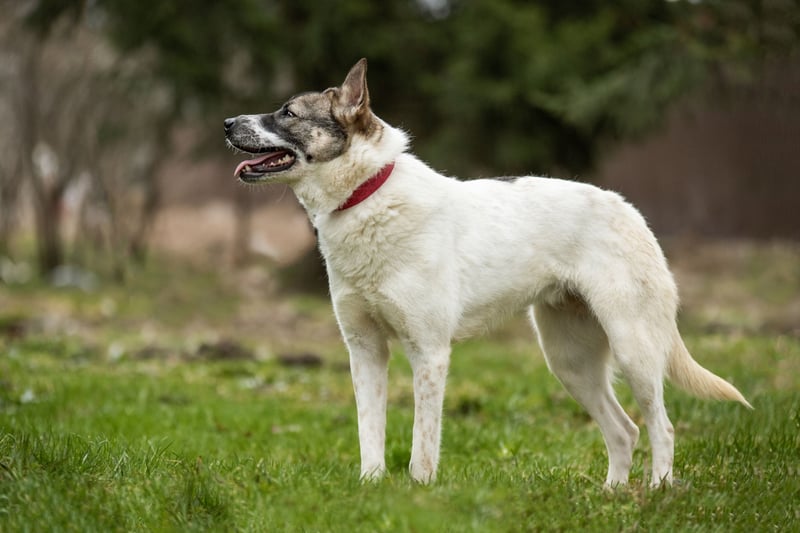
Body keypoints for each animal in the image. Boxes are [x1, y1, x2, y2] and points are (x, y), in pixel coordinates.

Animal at [224, 58, 751, 487]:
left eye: (288, 113)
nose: (227, 122)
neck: (368, 196)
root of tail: (630, 211)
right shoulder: (365, 352)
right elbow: (369, 434)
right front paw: (371, 488)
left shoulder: (429, 353)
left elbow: (422, 446)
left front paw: (419, 493)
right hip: (570, 362)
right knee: (624, 430)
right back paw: (612, 496)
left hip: (633, 347)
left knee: (662, 426)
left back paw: (657, 490)